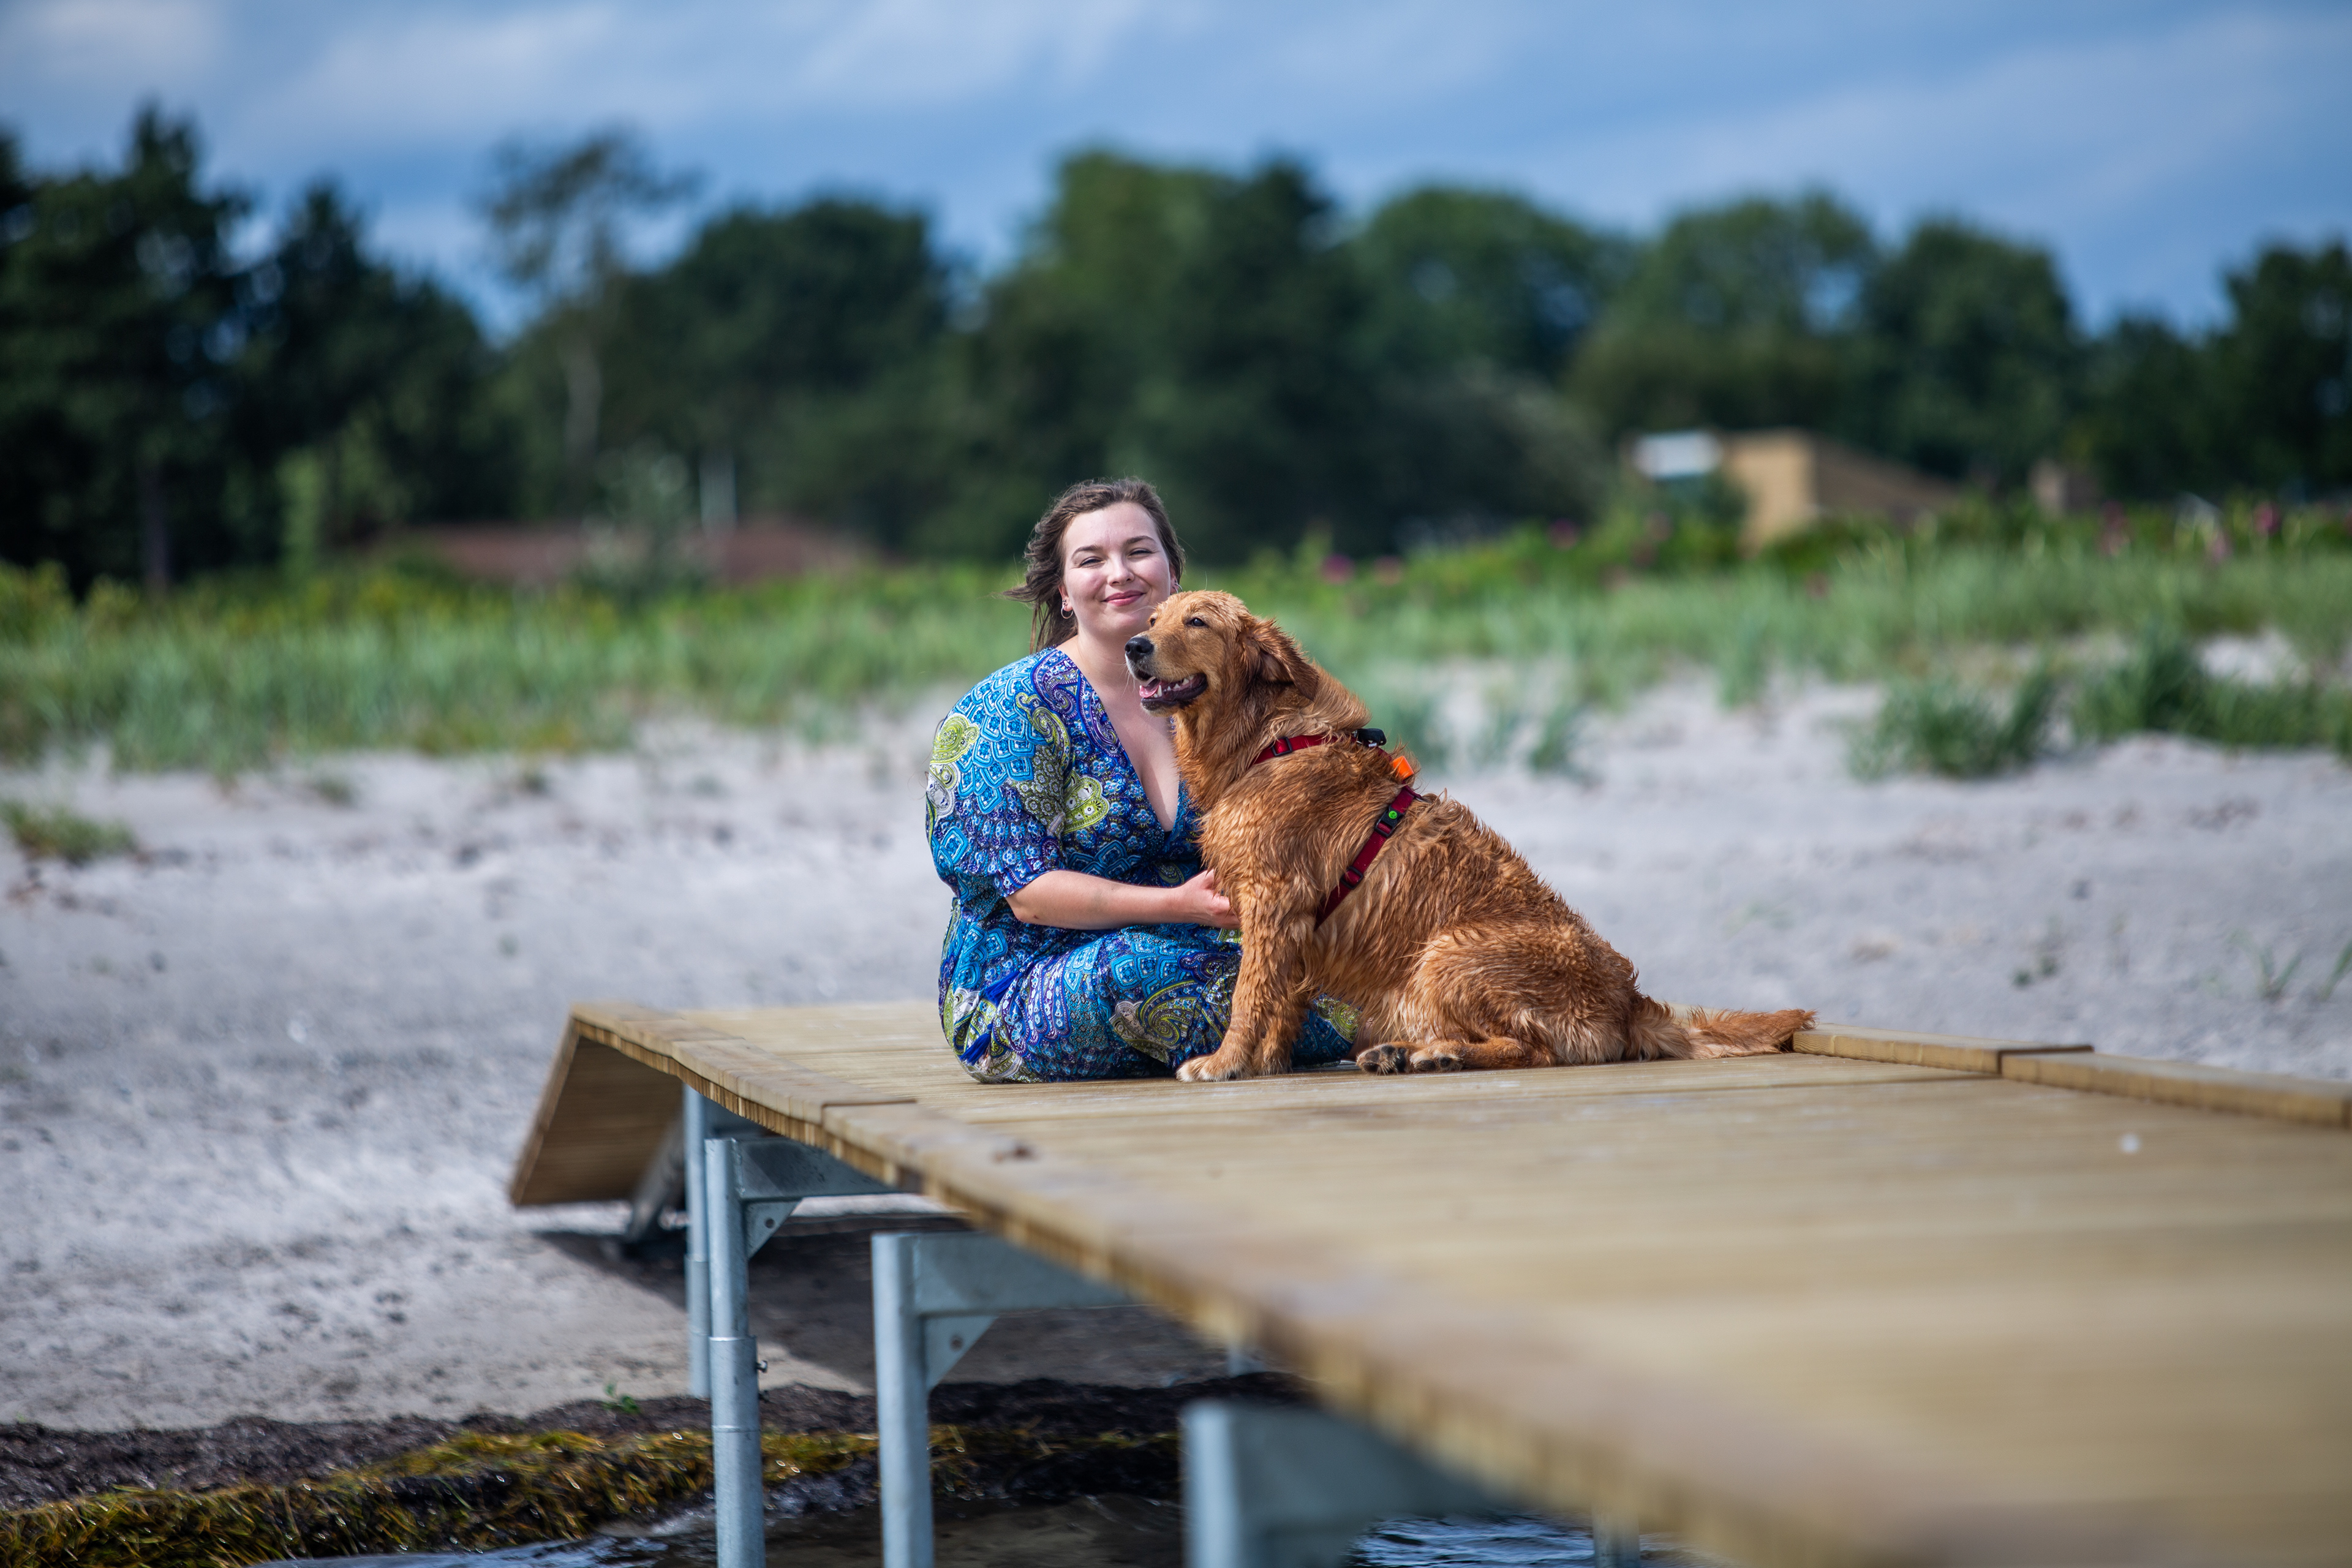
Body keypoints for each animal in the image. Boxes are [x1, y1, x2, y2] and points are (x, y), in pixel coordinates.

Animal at [1125, 589, 1814, 1080]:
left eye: (1196, 622)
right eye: (1156, 616)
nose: (1134, 644)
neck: (1268, 740)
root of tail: (1630, 1001)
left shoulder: (1273, 900)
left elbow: (1248, 995)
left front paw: (1225, 1062)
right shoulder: (1297, 926)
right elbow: (1282, 1000)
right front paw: (1266, 1062)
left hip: (1447, 953)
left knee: (1536, 1049)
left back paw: (1438, 1055)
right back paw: (1405, 1052)